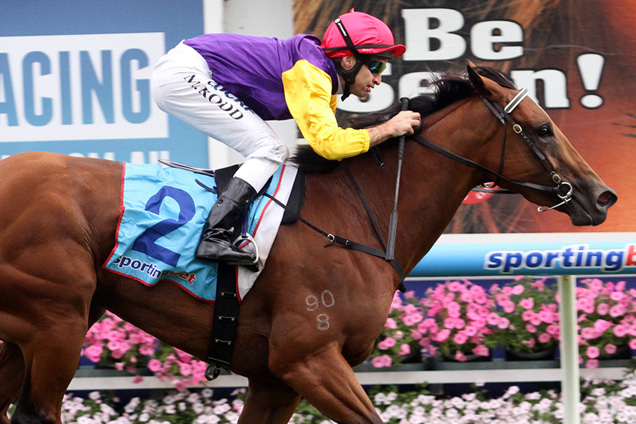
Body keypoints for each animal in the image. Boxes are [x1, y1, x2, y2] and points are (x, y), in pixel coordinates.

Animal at [0, 64, 616, 422]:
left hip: (32, 330)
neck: (358, 217)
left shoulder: (274, 380)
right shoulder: (309, 359)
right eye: (542, 129)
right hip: (57, 321)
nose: (603, 195)